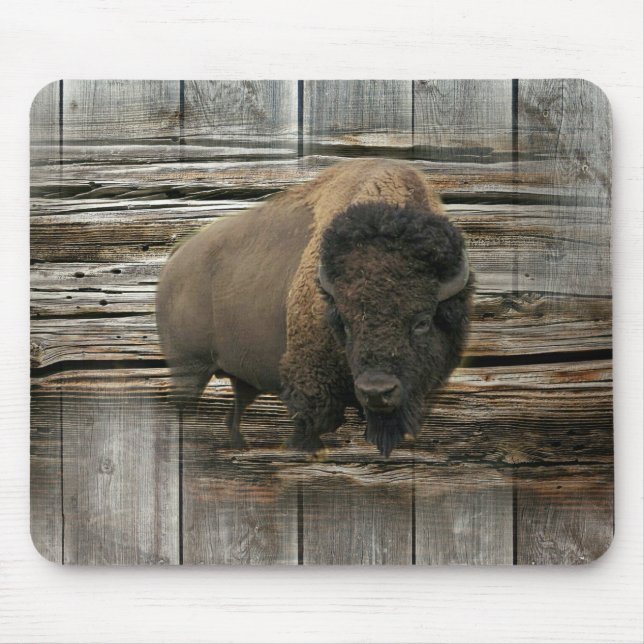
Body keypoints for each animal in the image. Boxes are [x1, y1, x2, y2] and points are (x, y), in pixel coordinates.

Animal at [156, 159, 473, 456]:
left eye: (422, 322)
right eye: (344, 322)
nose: (376, 391)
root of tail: (177, 257)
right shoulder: (311, 385)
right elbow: (310, 425)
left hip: (237, 377)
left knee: (233, 415)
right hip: (189, 369)